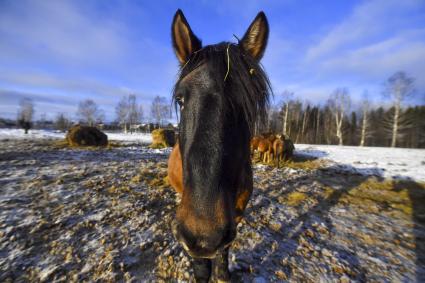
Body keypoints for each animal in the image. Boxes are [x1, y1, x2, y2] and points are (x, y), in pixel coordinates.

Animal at [167, 10, 270, 282]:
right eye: (180, 99)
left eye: (250, 102)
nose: (203, 235)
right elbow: (201, 268)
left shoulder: (236, 213)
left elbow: (223, 255)